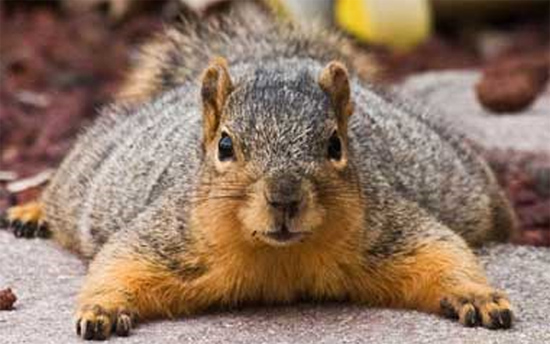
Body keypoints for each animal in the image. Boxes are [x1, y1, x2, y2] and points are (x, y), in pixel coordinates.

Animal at [4, 1, 520, 342]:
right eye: (225, 145)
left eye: (335, 145)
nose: (284, 197)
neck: (277, 258)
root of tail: (268, 56)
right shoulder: (168, 235)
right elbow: (120, 262)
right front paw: (102, 307)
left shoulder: (388, 225)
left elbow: (442, 252)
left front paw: (478, 295)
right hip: (83, 175)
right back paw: (30, 212)